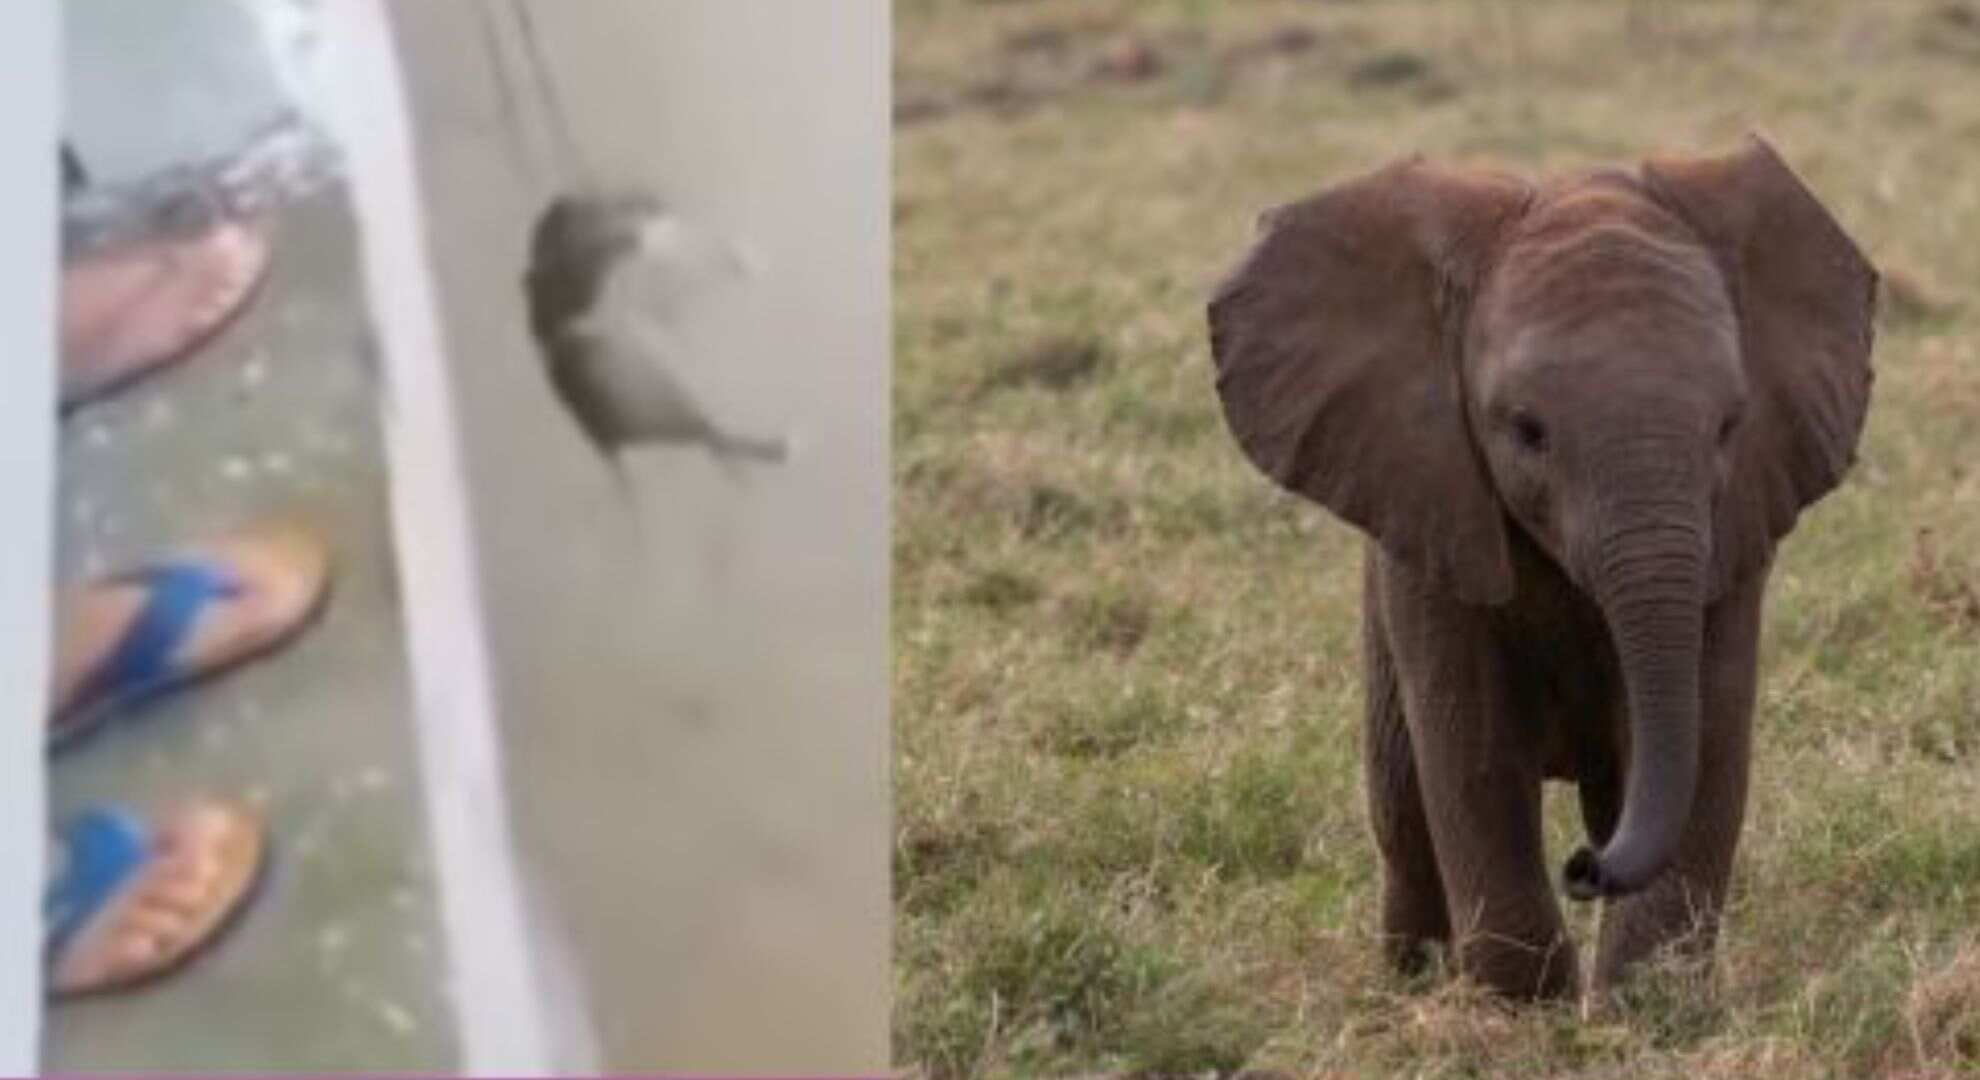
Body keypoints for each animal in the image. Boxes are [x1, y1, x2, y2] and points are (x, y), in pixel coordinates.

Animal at [1203, 136, 1869, 1002]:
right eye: (1527, 431)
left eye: (1729, 426)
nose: (1584, 869)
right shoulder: (1431, 514)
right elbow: (1472, 749)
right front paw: (1526, 1007)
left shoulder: (1737, 527)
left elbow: (1712, 734)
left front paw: (1647, 1008)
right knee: (1403, 811)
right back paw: (1413, 982)